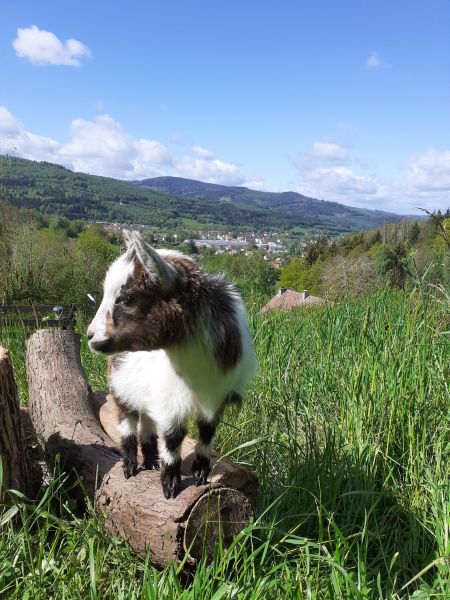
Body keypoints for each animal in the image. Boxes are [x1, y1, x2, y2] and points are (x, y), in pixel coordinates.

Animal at [88, 232, 256, 500]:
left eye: (127, 298)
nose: (90, 336)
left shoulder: (217, 395)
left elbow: (207, 431)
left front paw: (200, 473)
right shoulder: (170, 401)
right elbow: (173, 438)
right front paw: (170, 485)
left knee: (146, 422)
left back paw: (150, 461)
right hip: (120, 386)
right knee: (127, 420)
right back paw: (130, 465)